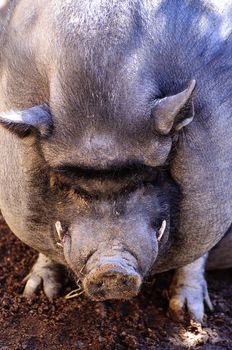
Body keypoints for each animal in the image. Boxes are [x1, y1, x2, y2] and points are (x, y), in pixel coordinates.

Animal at [0, 0, 231, 322]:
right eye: (64, 181)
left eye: (150, 176)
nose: (111, 268)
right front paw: (38, 293)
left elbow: (197, 254)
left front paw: (190, 316)